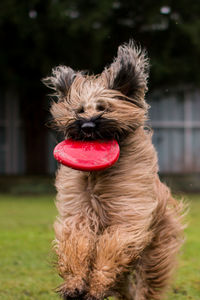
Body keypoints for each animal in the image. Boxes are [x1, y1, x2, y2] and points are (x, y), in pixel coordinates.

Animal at [43, 40, 184, 300]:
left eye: (104, 108)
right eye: (79, 110)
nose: (87, 127)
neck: (98, 176)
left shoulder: (127, 214)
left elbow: (113, 244)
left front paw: (97, 284)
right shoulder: (79, 211)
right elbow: (76, 240)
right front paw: (75, 282)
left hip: (156, 249)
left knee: (148, 281)